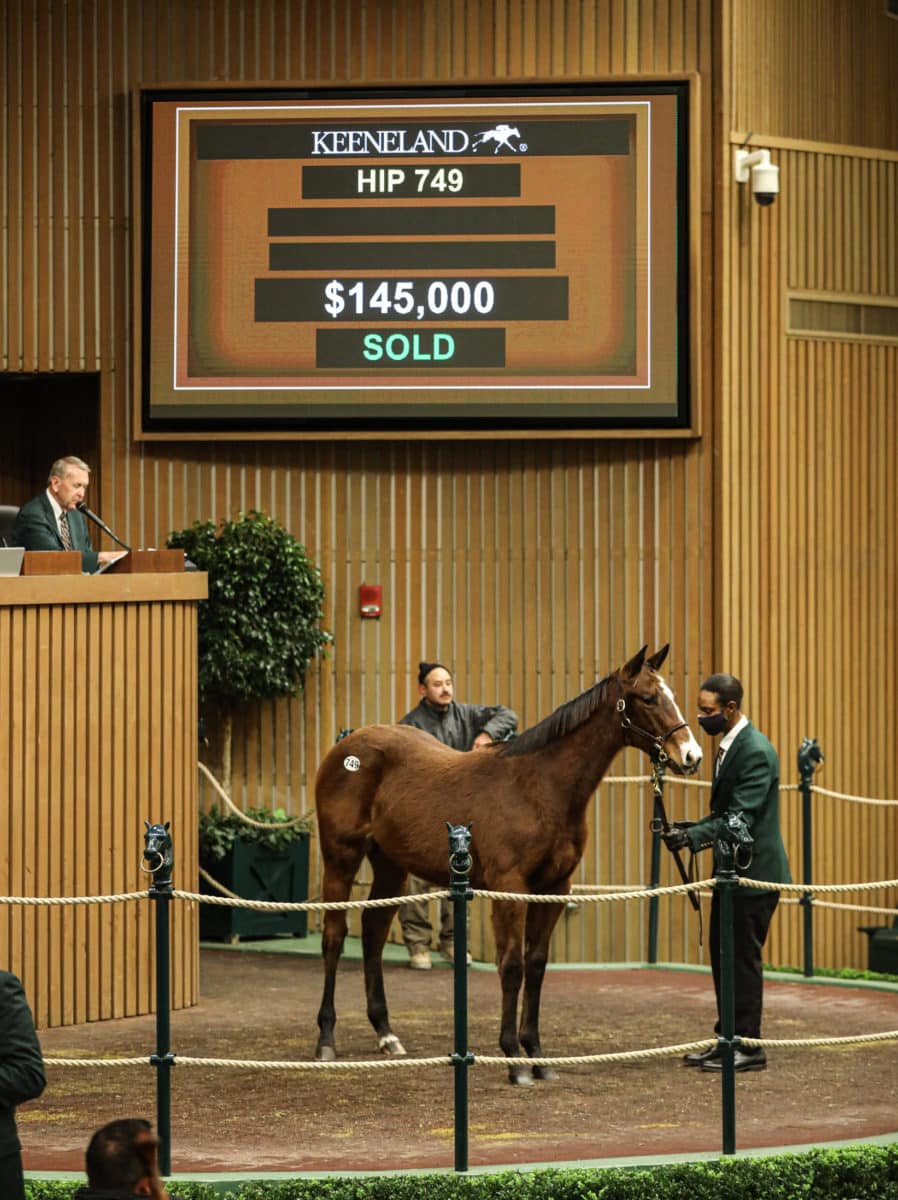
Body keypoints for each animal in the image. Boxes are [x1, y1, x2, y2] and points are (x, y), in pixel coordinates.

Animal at [314, 648, 701, 1089]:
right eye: (649, 698)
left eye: (671, 695)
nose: (691, 756)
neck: (540, 787)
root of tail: (347, 745)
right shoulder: (509, 887)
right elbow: (512, 966)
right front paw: (514, 1058)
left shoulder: (554, 888)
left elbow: (536, 965)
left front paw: (537, 1054)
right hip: (341, 857)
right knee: (334, 937)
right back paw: (326, 1039)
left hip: (391, 866)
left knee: (374, 933)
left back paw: (386, 1034)